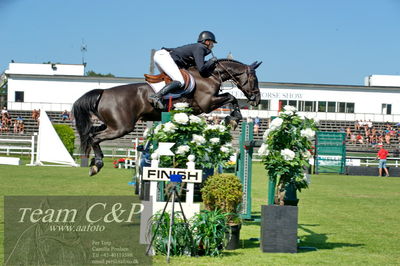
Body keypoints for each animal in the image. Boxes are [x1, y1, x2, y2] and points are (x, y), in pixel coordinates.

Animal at [72, 58, 262, 176]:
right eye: (254, 78)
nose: (257, 99)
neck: (210, 75)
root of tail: (103, 92)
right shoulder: (207, 104)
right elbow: (231, 97)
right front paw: (233, 119)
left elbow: (231, 98)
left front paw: (232, 119)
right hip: (121, 127)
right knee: (95, 137)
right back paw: (96, 165)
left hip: (112, 124)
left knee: (91, 132)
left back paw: (92, 162)